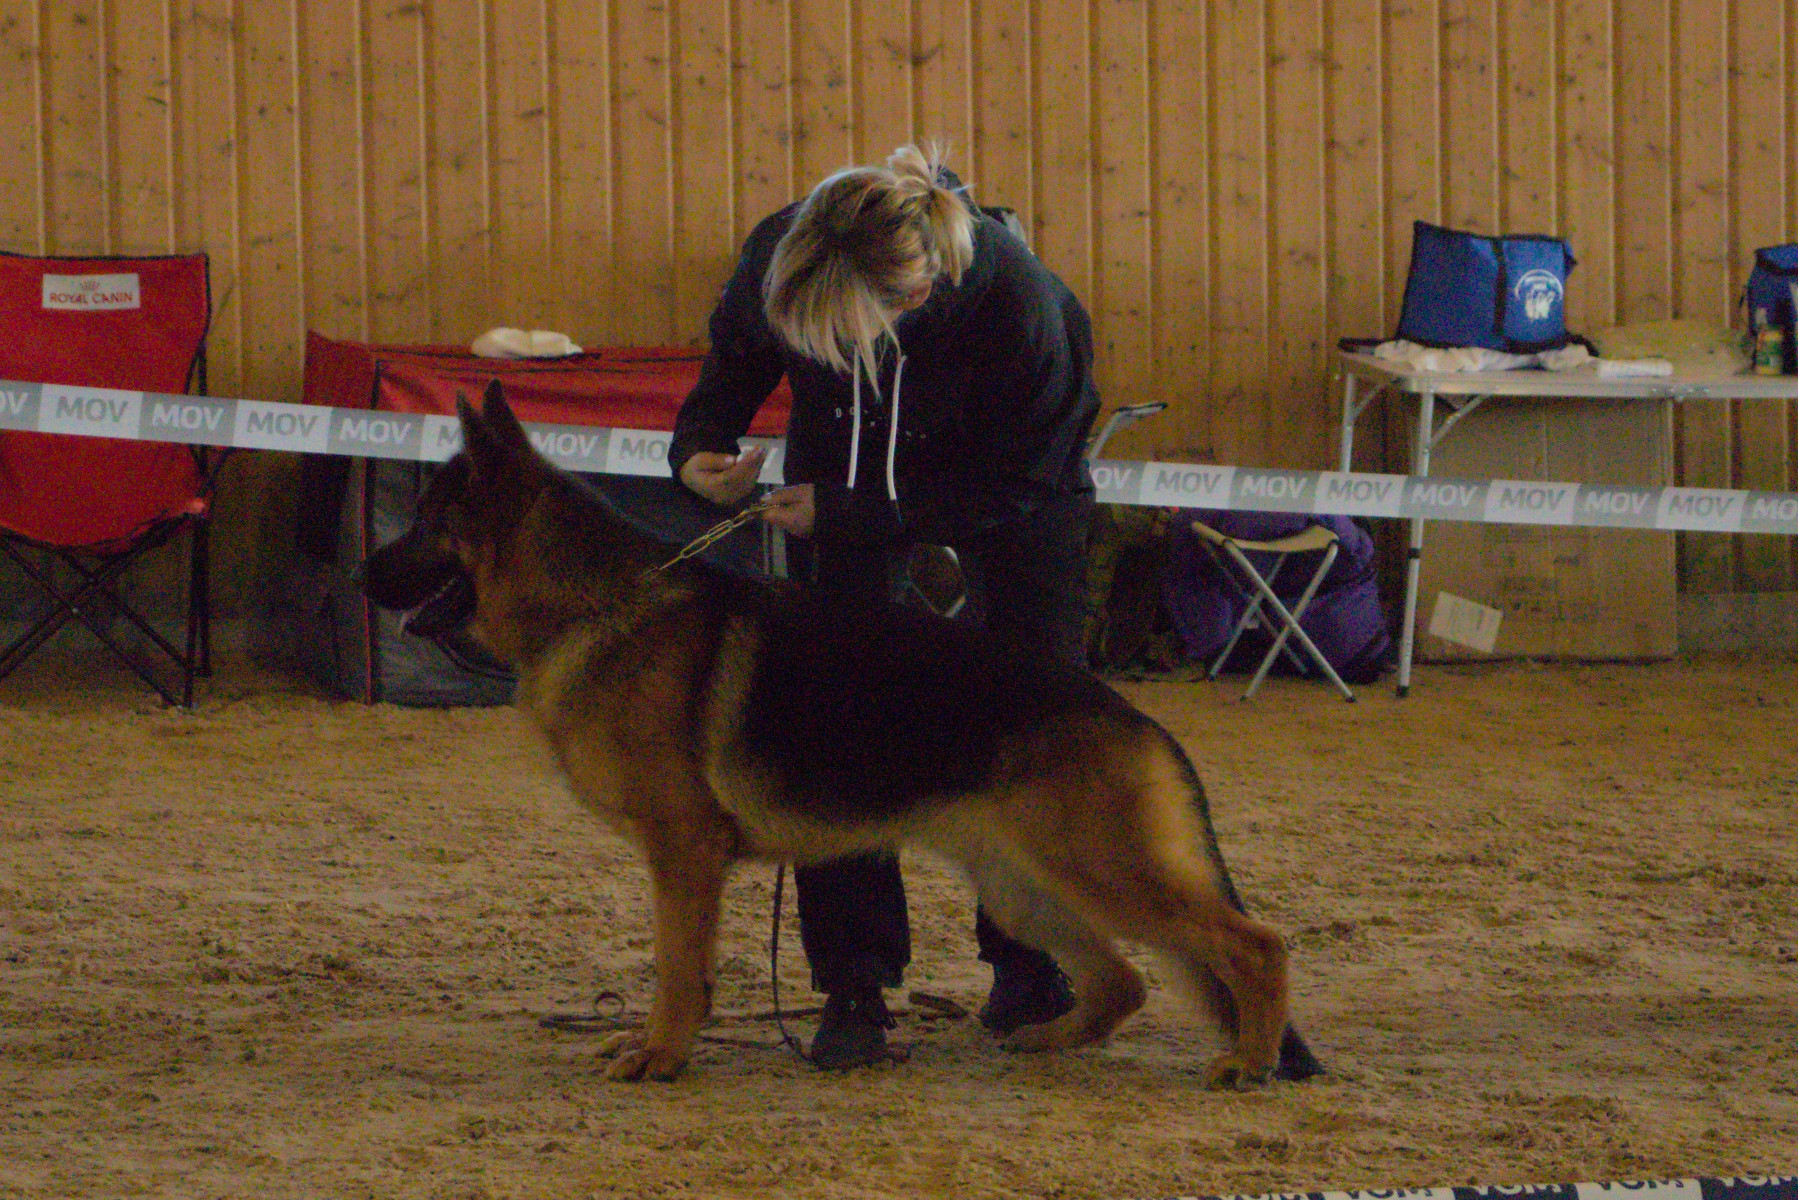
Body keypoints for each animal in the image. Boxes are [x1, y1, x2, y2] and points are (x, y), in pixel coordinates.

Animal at [362, 382, 1305, 1087]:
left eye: (425, 522)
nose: (363, 574)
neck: (593, 603)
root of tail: (1137, 718)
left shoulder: (683, 851)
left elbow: (677, 964)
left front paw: (662, 1054)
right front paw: (659, 1045)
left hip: (1100, 872)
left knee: (1254, 945)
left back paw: (1249, 1062)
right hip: (1026, 888)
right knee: (1123, 980)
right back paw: (1048, 1039)